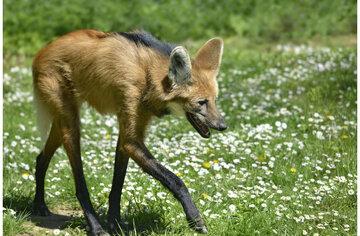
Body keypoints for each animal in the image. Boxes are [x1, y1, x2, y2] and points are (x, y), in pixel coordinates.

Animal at [32, 29, 226, 234]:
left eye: (214, 100)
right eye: (201, 102)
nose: (223, 125)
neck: (148, 76)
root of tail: (42, 51)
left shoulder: (129, 132)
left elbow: (118, 183)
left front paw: (115, 223)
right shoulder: (131, 132)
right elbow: (176, 180)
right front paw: (196, 219)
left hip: (62, 121)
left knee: (41, 158)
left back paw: (39, 205)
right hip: (70, 123)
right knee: (79, 183)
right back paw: (95, 227)